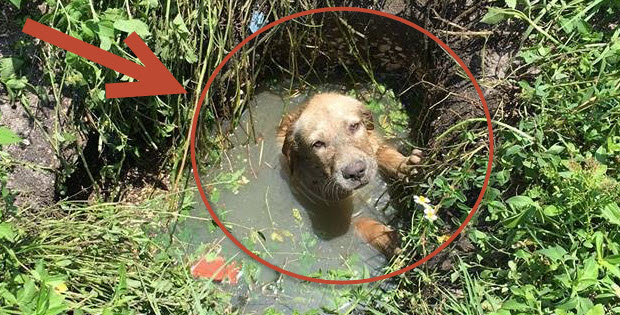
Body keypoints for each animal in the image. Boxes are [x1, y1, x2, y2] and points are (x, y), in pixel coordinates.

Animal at [278, 92, 424, 258]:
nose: (355, 172)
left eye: (354, 126)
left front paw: (405, 165)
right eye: (318, 144)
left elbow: (383, 153)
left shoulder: (374, 144)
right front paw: (389, 239)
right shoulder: (335, 213)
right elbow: (363, 222)